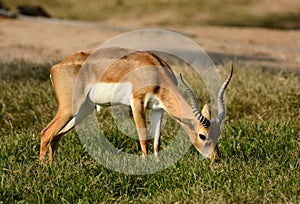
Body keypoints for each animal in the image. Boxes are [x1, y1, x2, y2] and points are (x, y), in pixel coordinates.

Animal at [39, 46, 232, 164]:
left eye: (218, 133)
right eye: (202, 135)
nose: (216, 159)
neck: (156, 72)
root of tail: (55, 67)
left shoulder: (158, 109)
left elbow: (156, 140)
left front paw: (157, 164)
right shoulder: (137, 102)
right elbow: (143, 137)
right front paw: (146, 166)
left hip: (82, 111)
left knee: (56, 136)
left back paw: (53, 167)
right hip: (69, 108)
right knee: (46, 133)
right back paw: (44, 171)